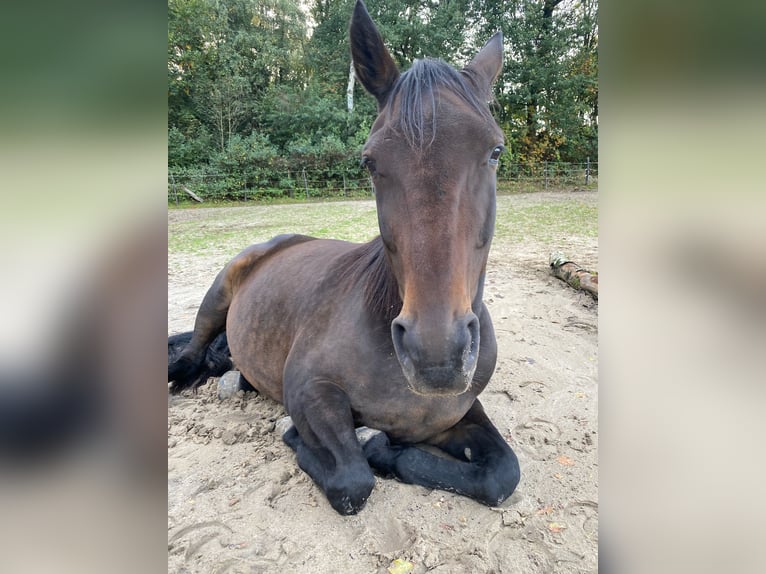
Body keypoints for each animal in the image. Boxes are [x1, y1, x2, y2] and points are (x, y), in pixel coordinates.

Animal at [169, 0, 520, 520]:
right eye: (370, 162)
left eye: (495, 151)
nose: (436, 356)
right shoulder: (308, 390)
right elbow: (353, 480)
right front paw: (316, 438)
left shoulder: (460, 411)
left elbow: (502, 474)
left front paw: (389, 449)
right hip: (218, 294)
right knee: (192, 349)